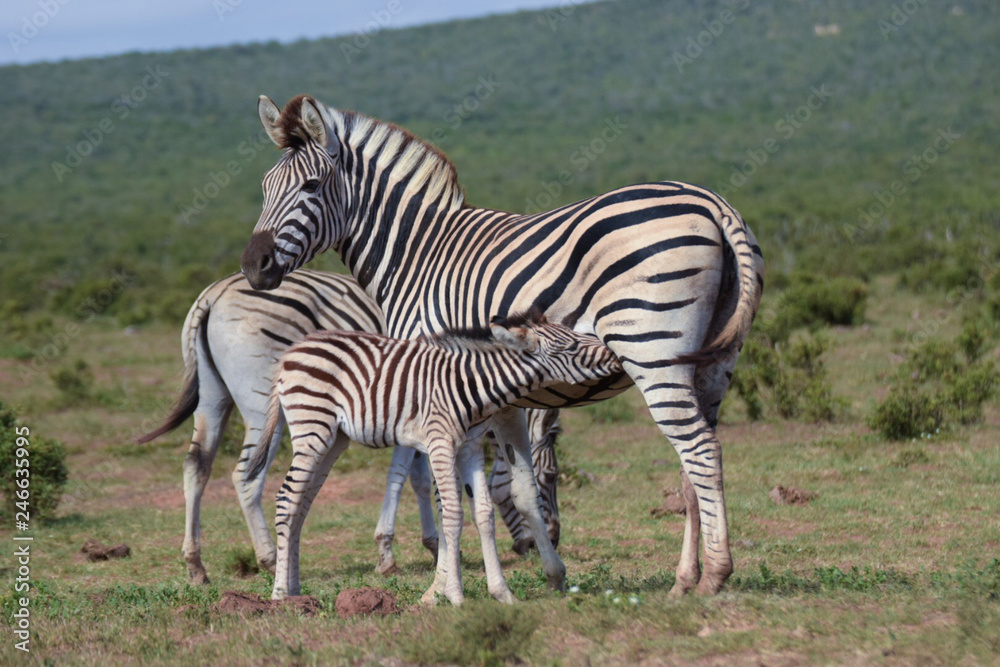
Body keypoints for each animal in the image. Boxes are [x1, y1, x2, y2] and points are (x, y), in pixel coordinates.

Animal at [137, 269, 561, 583]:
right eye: (551, 480)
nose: (549, 540)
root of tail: (215, 293)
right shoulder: (413, 404)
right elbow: (407, 475)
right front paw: (393, 552)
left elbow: (420, 478)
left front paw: (431, 543)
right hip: (264, 401)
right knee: (246, 475)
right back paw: (270, 558)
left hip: (213, 396)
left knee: (196, 465)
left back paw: (196, 566)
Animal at [246, 311, 624, 604]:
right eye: (572, 347)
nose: (615, 356)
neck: (474, 388)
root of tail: (292, 351)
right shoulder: (440, 442)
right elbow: (453, 514)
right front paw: (454, 596)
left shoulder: (469, 448)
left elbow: (483, 513)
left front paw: (502, 593)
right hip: (311, 429)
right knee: (286, 499)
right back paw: (279, 594)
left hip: (332, 438)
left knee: (300, 505)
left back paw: (295, 590)